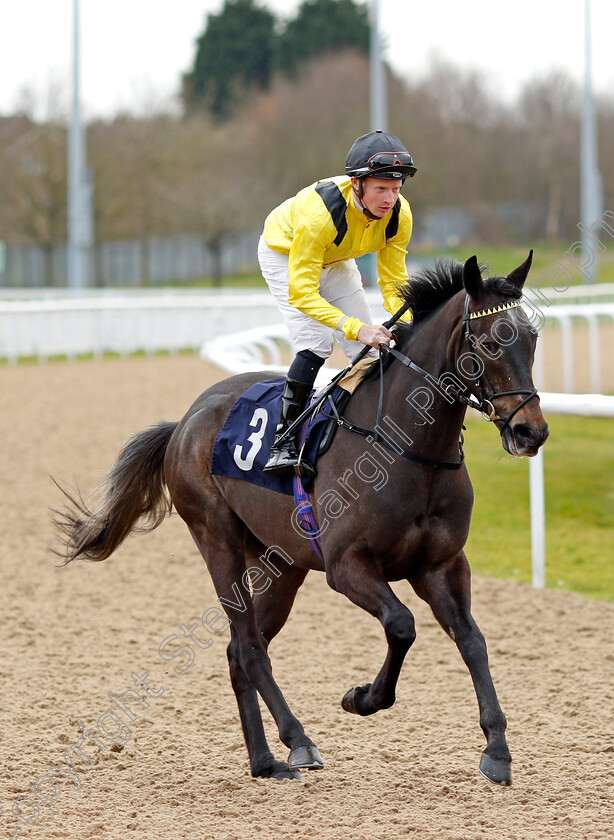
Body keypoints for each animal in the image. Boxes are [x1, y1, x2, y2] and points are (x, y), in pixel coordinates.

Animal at [55, 254, 552, 788]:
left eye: (532, 338)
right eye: (489, 341)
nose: (531, 432)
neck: (408, 449)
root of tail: (184, 422)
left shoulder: (441, 565)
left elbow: (472, 640)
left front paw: (497, 748)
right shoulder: (346, 565)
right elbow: (401, 625)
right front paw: (362, 698)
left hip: (283, 566)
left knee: (238, 651)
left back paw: (264, 761)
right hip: (217, 539)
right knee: (249, 647)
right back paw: (298, 742)